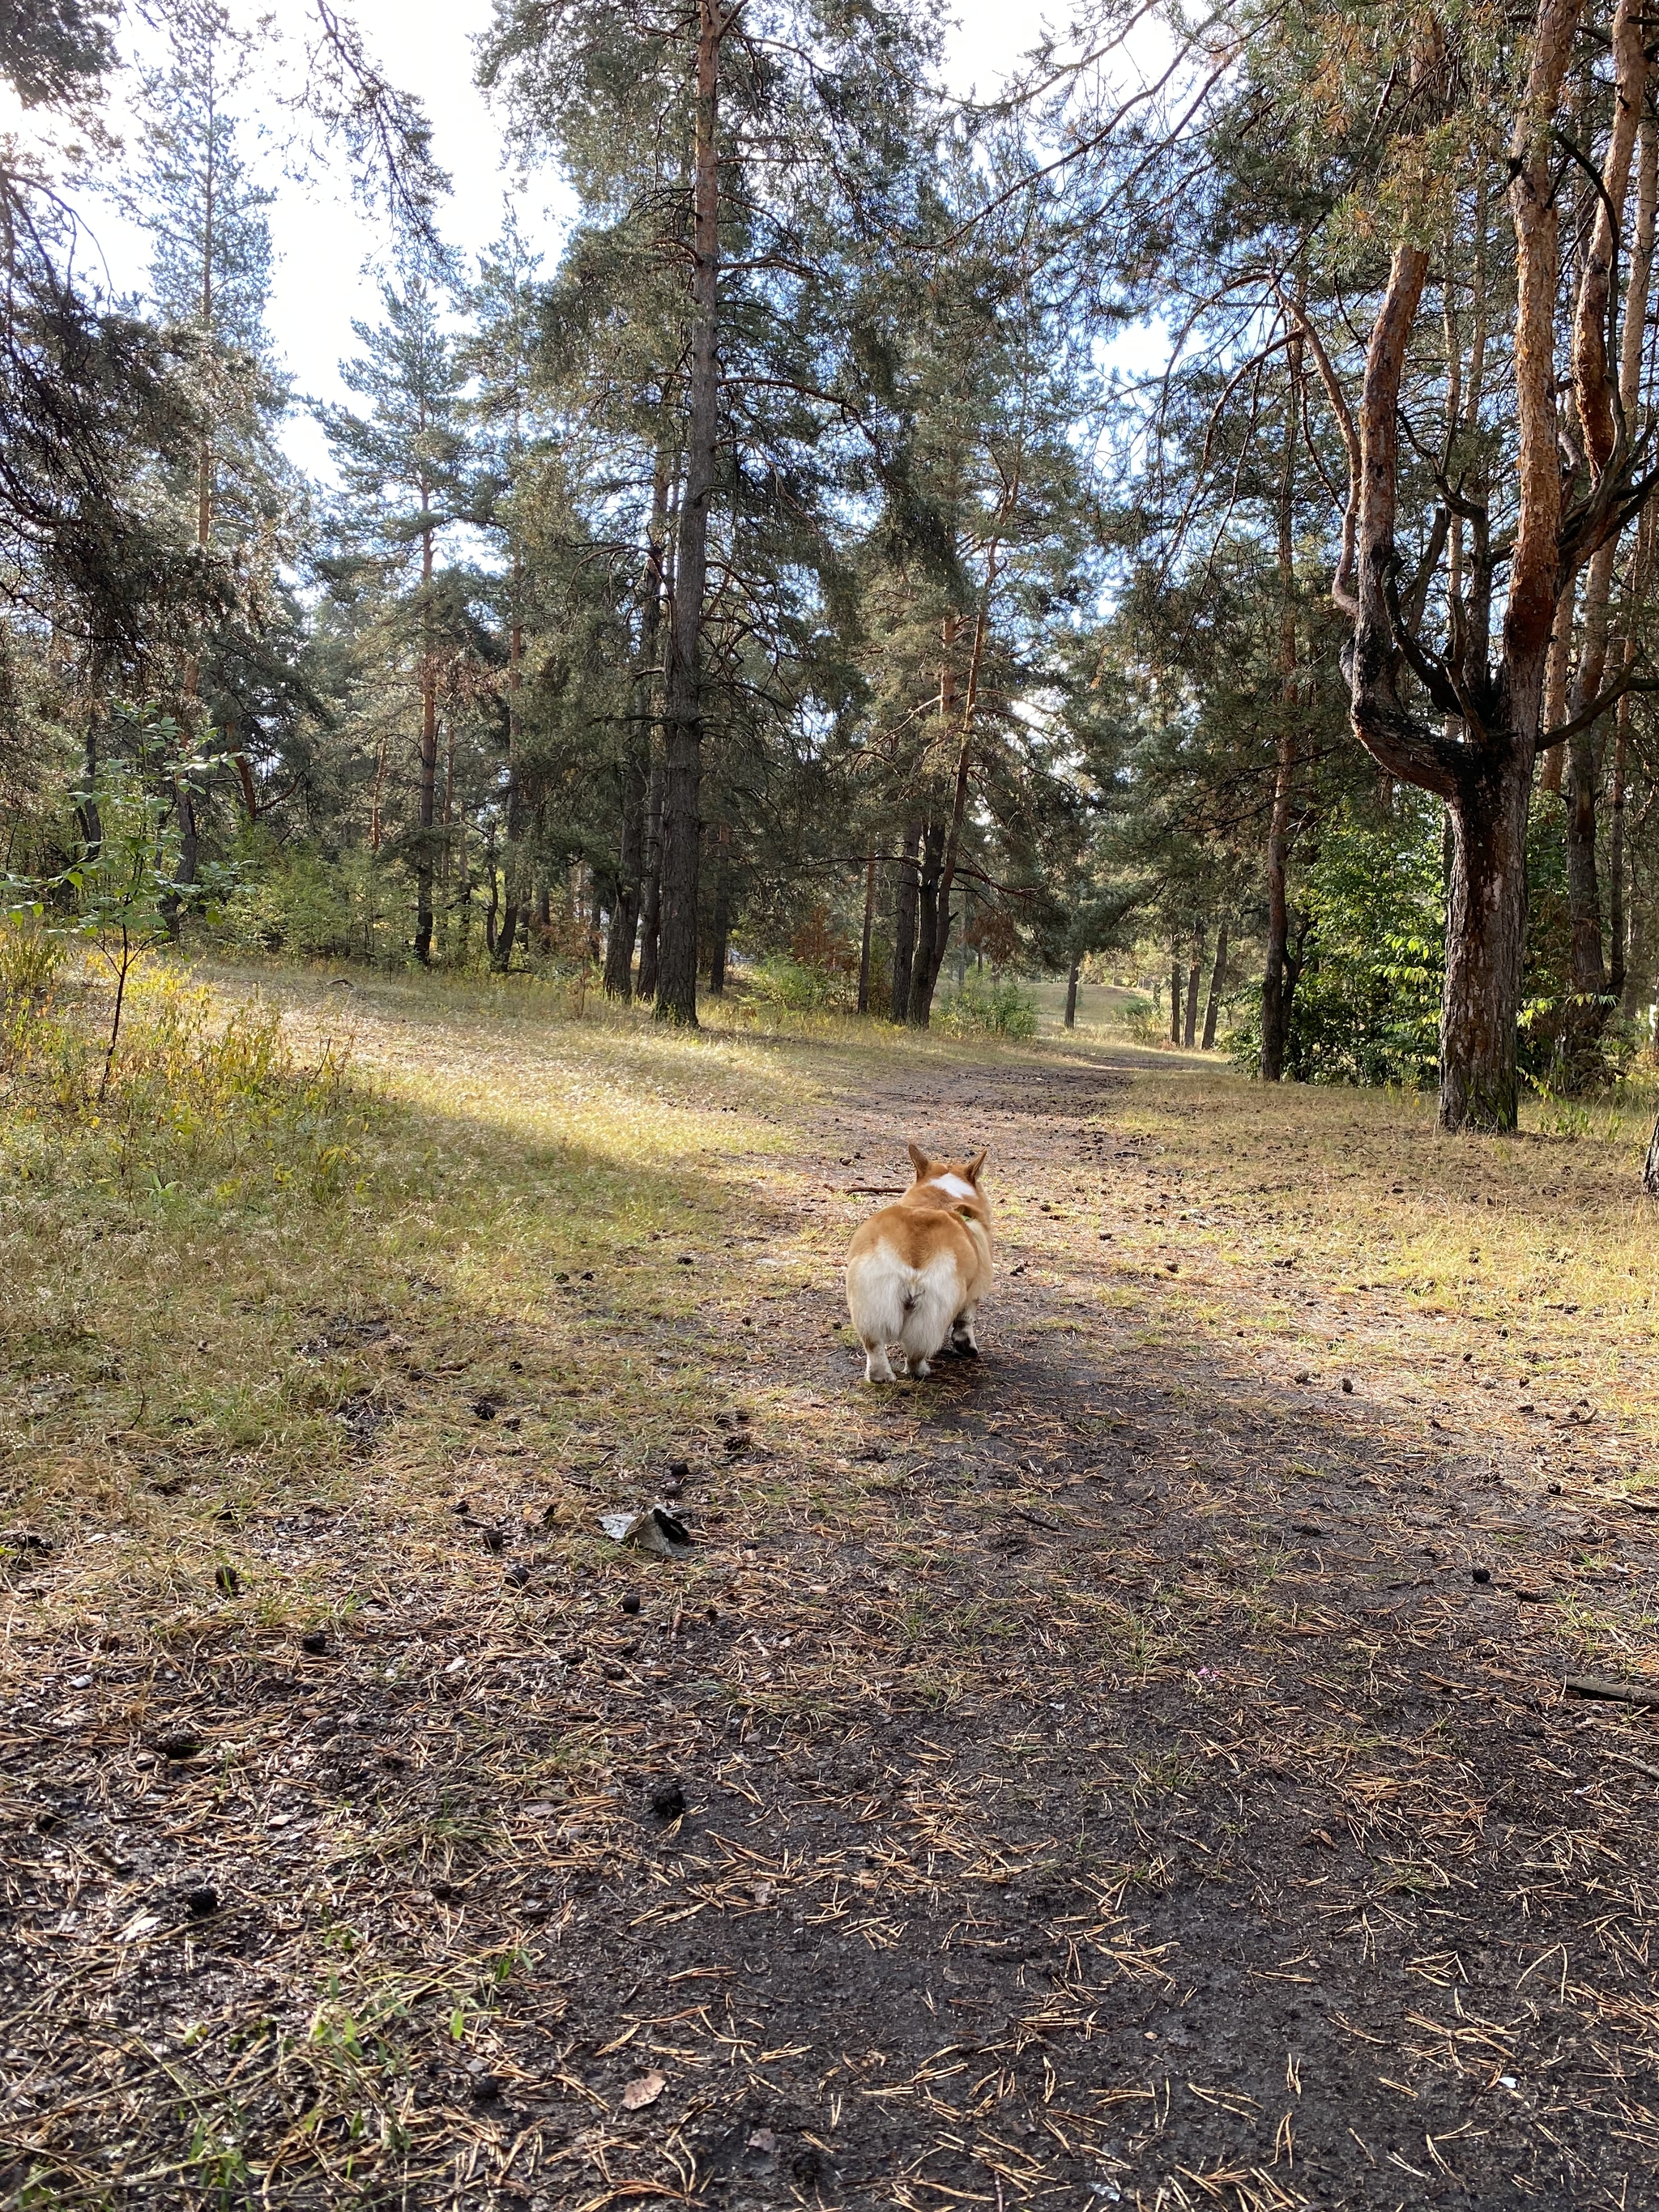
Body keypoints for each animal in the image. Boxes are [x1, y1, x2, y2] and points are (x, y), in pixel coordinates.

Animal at [849, 1141, 995, 1380]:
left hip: (869, 1302)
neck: (941, 1199)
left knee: (874, 1346)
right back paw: (922, 1371)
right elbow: (966, 1320)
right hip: (932, 1311)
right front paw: (968, 1347)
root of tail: (912, 1254)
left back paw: (881, 1377)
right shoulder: (975, 1290)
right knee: (917, 1352)